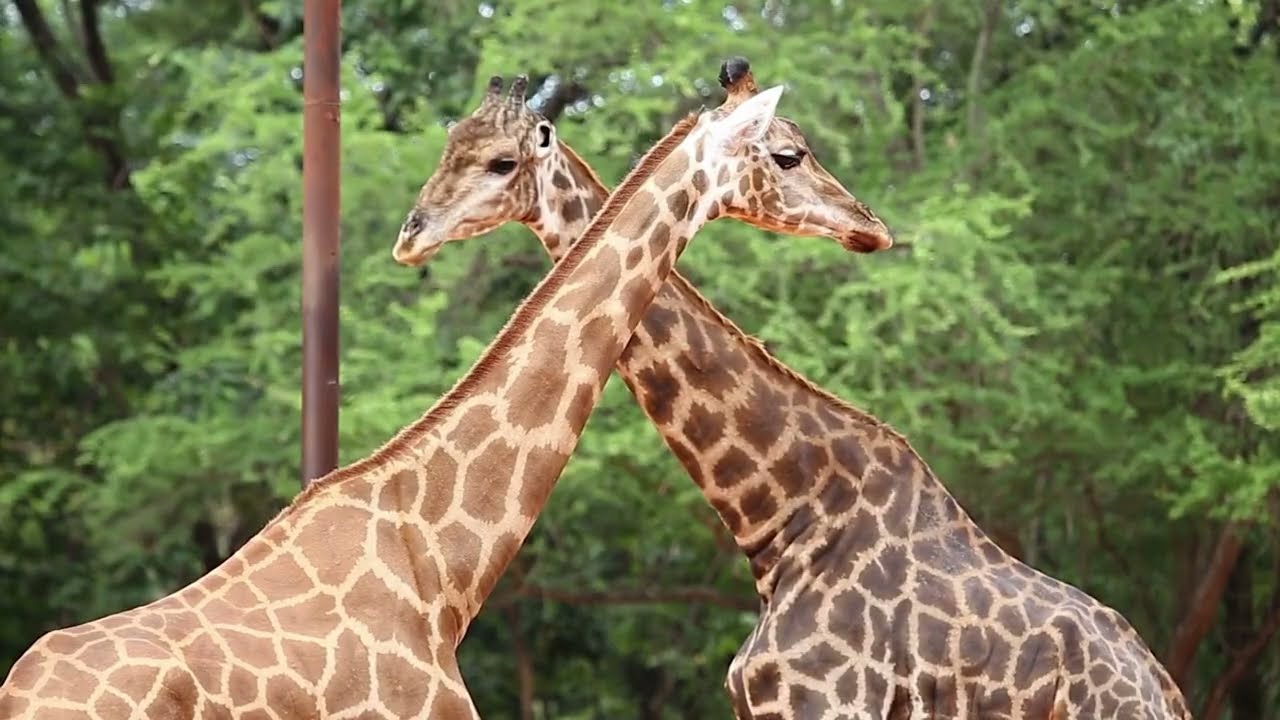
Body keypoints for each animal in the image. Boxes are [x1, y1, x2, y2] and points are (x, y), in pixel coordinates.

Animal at [403, 57, 1193, 719]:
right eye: (449, 150)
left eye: (501, 161)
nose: (413, 234)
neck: (783, 515)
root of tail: (1164, 691)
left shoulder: (830, 701)